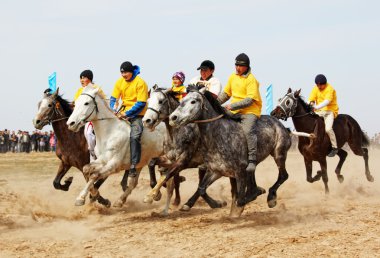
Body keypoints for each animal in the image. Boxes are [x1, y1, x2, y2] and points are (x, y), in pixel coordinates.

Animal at [142, 85, 226, 215]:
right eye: (148, 101)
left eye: (160, 101)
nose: (146, 121)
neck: (177, 134)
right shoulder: (170, 159)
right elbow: (152, 163)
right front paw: (157, 194)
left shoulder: (183, 161)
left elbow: (167, 174)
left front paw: (151, 195)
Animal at [168, 85, 290, 217]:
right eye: (181, 100)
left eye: (193, 101)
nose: (173, 118)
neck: (220, 136)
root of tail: (279, 124)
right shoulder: (216, 171)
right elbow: (201, 188)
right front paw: (206, 204)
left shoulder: (240, 172)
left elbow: (241, 200)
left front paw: (254, 194)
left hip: (279, 153)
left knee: (284, 175)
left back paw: (271, 199)